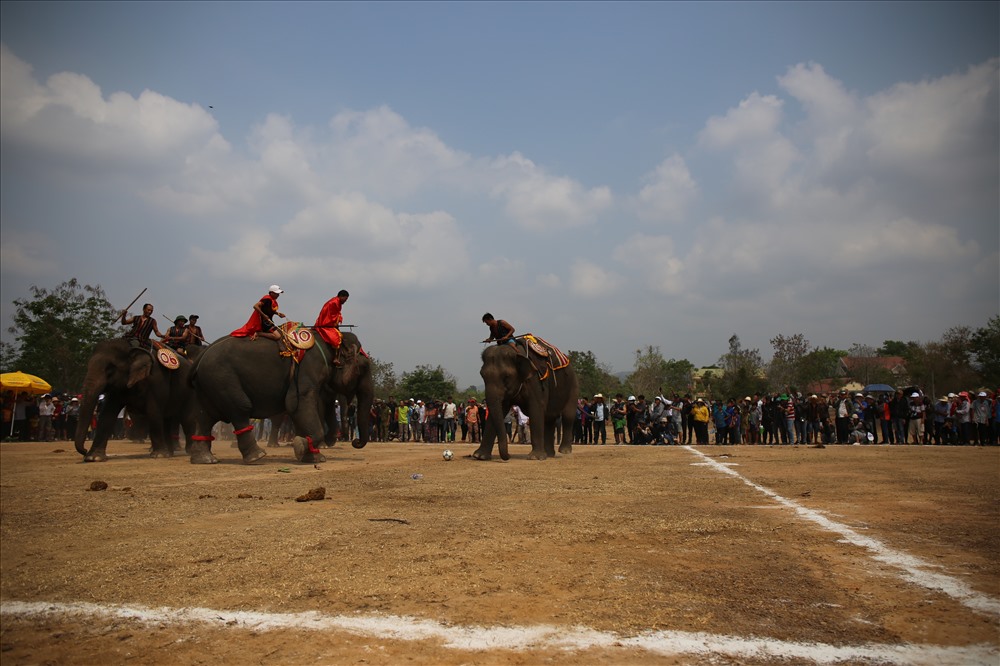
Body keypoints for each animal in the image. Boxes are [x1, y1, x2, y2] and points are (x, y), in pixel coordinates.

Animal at [73, 338, 203, 462]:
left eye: (110, 370)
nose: (84, 450)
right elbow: (107, 414)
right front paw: (94, 458)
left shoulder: (157, 379)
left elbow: (153, 412)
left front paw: (158, 455)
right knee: (167, 420)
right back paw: (170, 453)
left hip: (190, 391)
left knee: (187, 418)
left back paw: (189, 451)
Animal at [188, 326, 372, 462]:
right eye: (363, 367)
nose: (355, 441)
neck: (330, 341)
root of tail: (202, 355)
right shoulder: (307, 369)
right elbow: (298, 403)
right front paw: (300, 446)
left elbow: (298, 410)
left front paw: (312, 456)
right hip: (222, 378)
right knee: (240, 409)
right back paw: (257, 456)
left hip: (209, 384)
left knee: (204, 417)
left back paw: (205, 459)